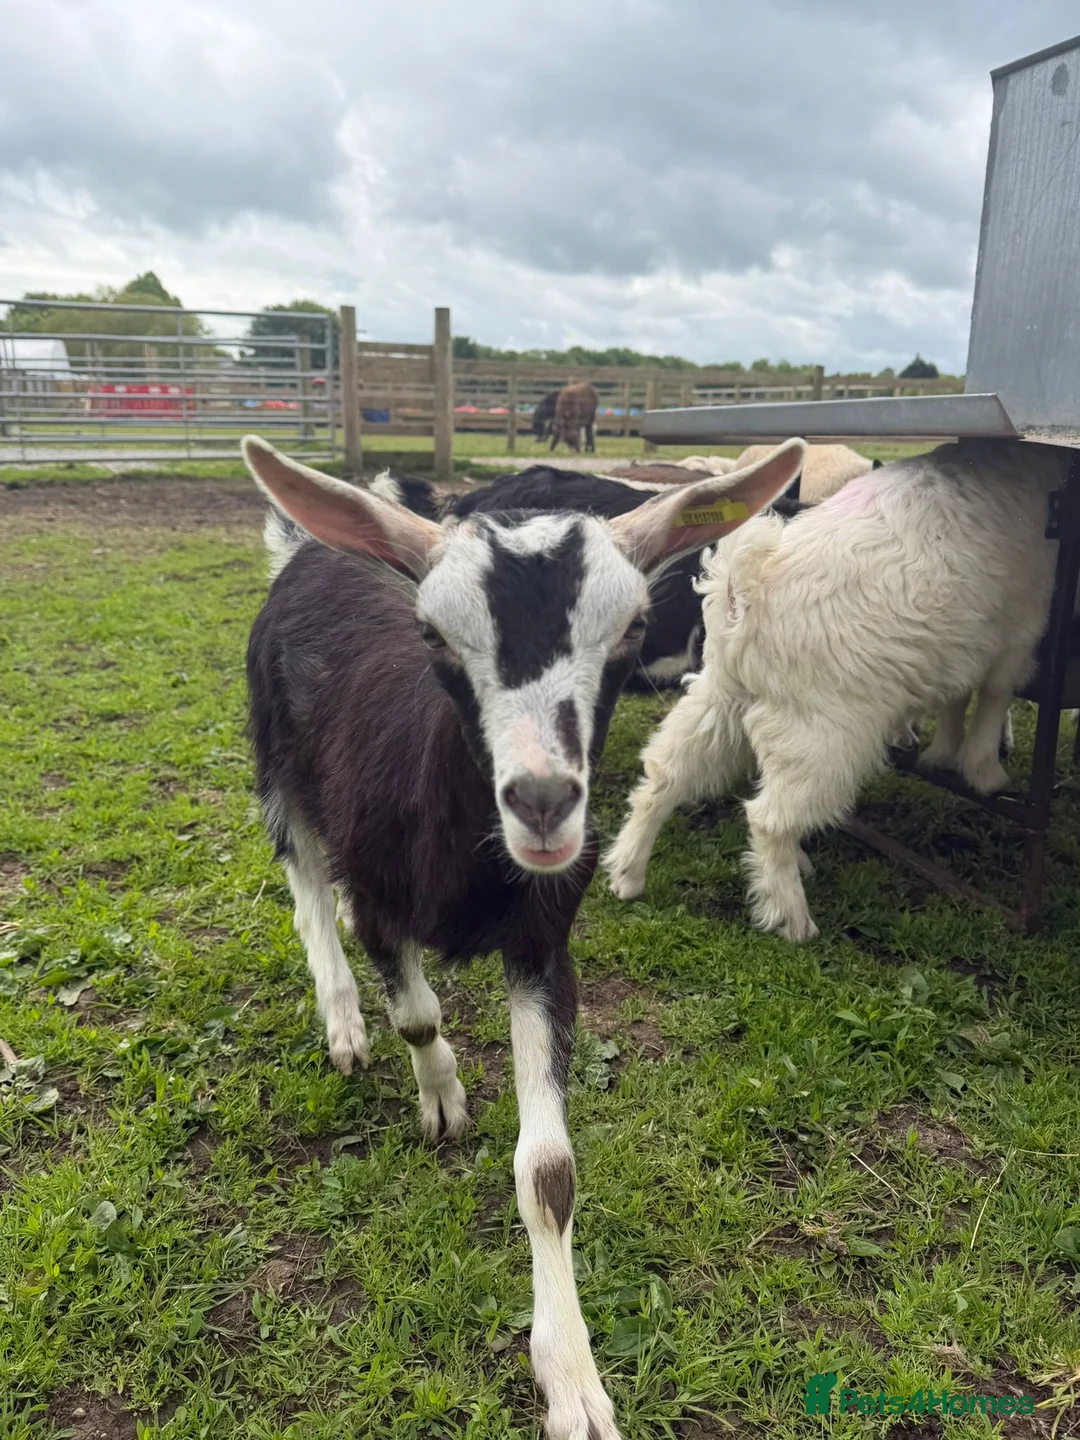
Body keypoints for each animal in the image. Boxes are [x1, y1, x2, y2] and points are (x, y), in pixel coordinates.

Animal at [604, 440, 1071, 942]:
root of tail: (752, 576)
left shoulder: (966, 644)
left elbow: (956, 699)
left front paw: (943, 755)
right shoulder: (1016, 635)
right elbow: (994, 698)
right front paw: (985, 772)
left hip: (722, 696)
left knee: (664, 775)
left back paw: (627, 874)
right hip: (823, 731)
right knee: (769, 819)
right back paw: (791, 917)